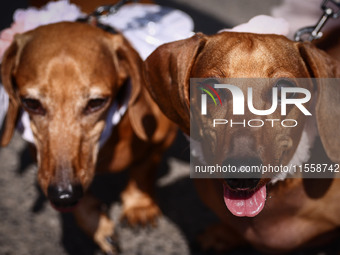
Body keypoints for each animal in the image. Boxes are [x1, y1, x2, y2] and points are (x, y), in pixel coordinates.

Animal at [1, 21, 178, 255]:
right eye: (31, 103)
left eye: (96, 102)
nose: (63, 195)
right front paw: (100, 227)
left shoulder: (164, 136)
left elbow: (144, 169)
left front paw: (140, 205)